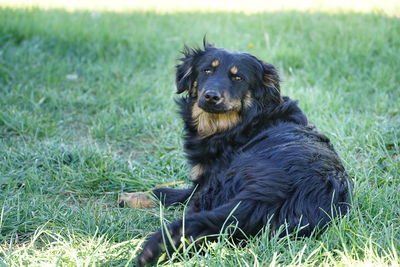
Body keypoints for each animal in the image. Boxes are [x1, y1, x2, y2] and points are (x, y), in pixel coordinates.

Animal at [120, 40, 352, 266]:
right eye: (206, 71)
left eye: (238, 77)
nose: (211, 96)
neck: (241, 123)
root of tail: (269, 193)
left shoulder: (202, 184)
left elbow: (164, 192)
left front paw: (131, 196)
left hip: (214, 191)